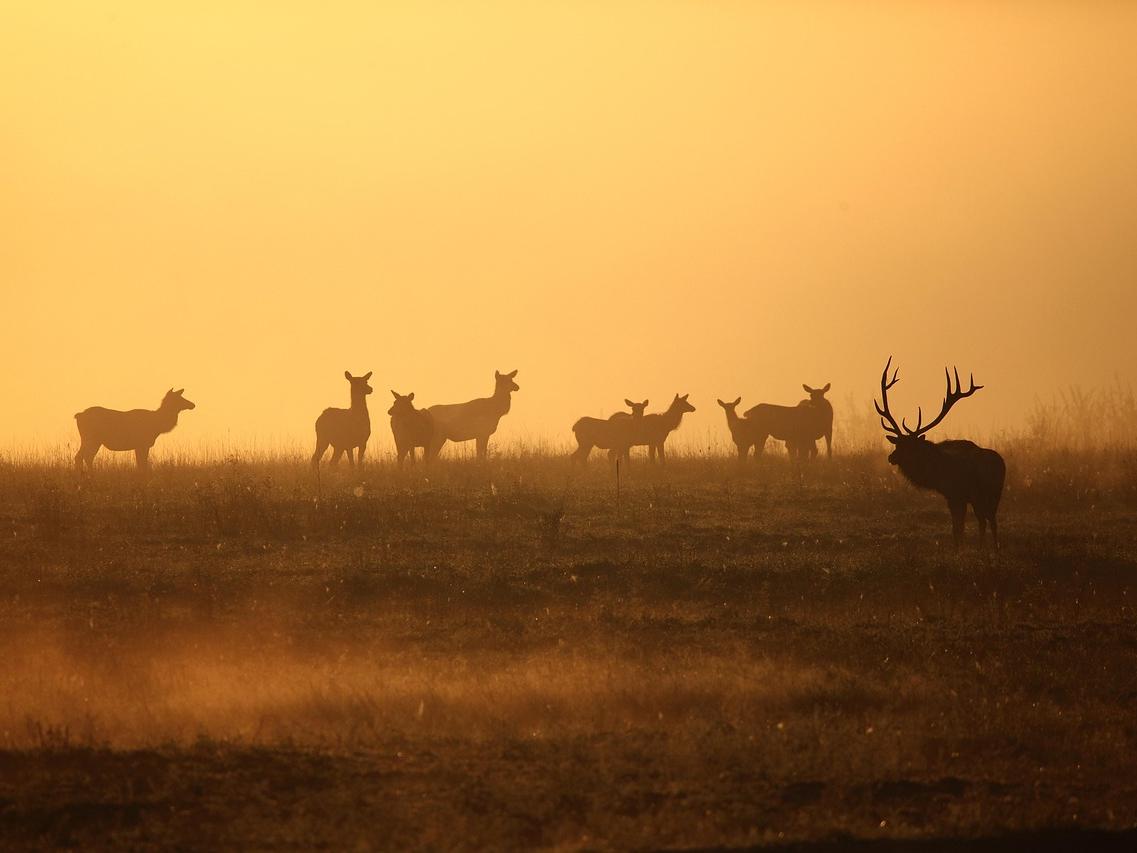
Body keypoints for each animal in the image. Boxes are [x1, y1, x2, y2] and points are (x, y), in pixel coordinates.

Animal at [875, 357, 1006, 547]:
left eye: (910, 447)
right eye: (897, 444)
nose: (891, 457)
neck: (937, 473)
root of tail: (1000, 465)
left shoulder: (954, 494)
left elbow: (957, 529)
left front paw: (958, 550)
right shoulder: (957, 497)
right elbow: (959, 527)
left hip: (981, 494)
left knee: (985, 520)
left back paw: (985, 549)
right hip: (993, 493)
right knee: (991, 520)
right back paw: (994, 550)